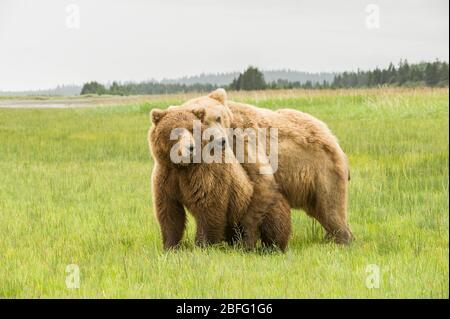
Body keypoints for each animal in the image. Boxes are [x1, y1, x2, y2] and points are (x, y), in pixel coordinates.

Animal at [148, 106, 292, 251]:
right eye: (175, 130)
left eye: (192, 129)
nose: (190, 147)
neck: (183, 167)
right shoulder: (167, 176)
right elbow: (169, 211)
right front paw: (170, 246)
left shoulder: (206, 175)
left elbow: (208, 207)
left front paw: (202, 245)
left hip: (260, 202)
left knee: (273, 223)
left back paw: (272, 247)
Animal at [174, 89, 354, 244]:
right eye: (201, 124)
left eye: (217, 117)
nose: (221, 141)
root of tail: (333, 139)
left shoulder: (243, 140)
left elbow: (261, 181)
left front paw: (245, 238)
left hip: (322, 170)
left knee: (332, 209)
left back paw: (342, 239)